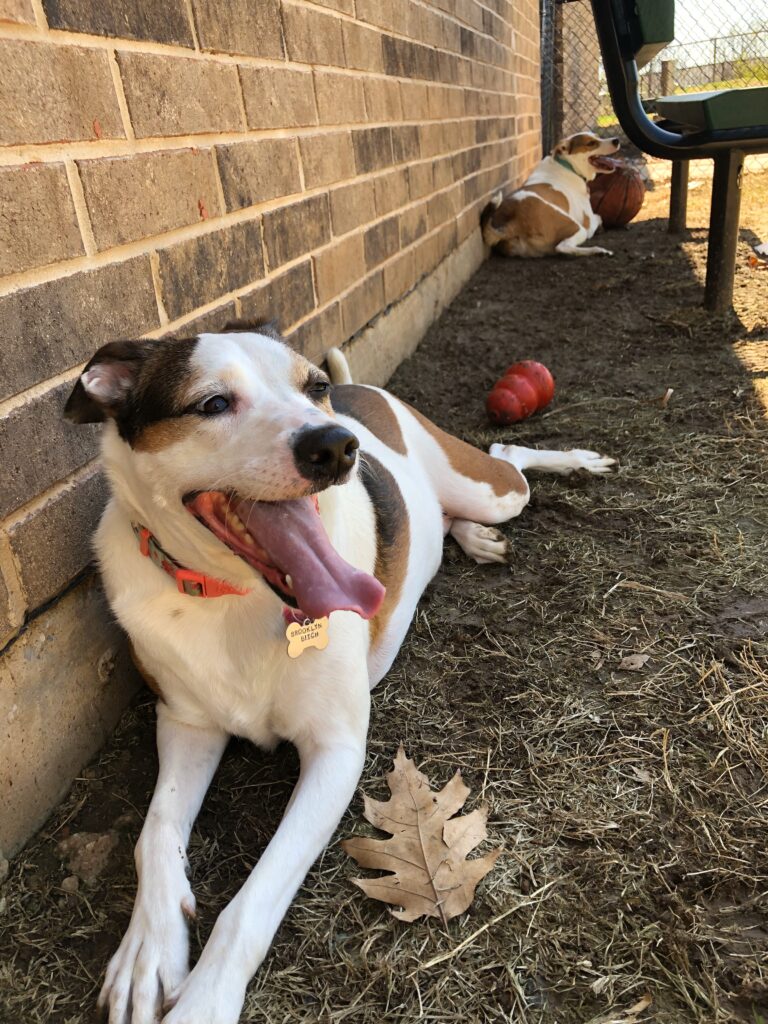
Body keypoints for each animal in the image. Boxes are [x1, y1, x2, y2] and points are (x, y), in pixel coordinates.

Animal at [66, 327, 618, 1024]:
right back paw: (469, 537)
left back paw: (571, 463)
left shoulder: (336, 752)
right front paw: (148, 949)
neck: (234, 598)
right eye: (212, 403)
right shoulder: (186, 725)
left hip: (493, 487)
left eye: (313, 387)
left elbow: (252, 901)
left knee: (505, 452)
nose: (333, 444)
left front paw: (205, 1000)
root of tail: (364, 388)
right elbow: (155, 831)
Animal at [483, 130, 622, 258]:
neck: (568, 165)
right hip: (577, 228)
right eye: (591, 143)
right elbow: (599, 216)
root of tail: (514, 222)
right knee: (562, 247)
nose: (616, 140)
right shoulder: (588, 223)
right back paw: (597, 250)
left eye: (598, 137)